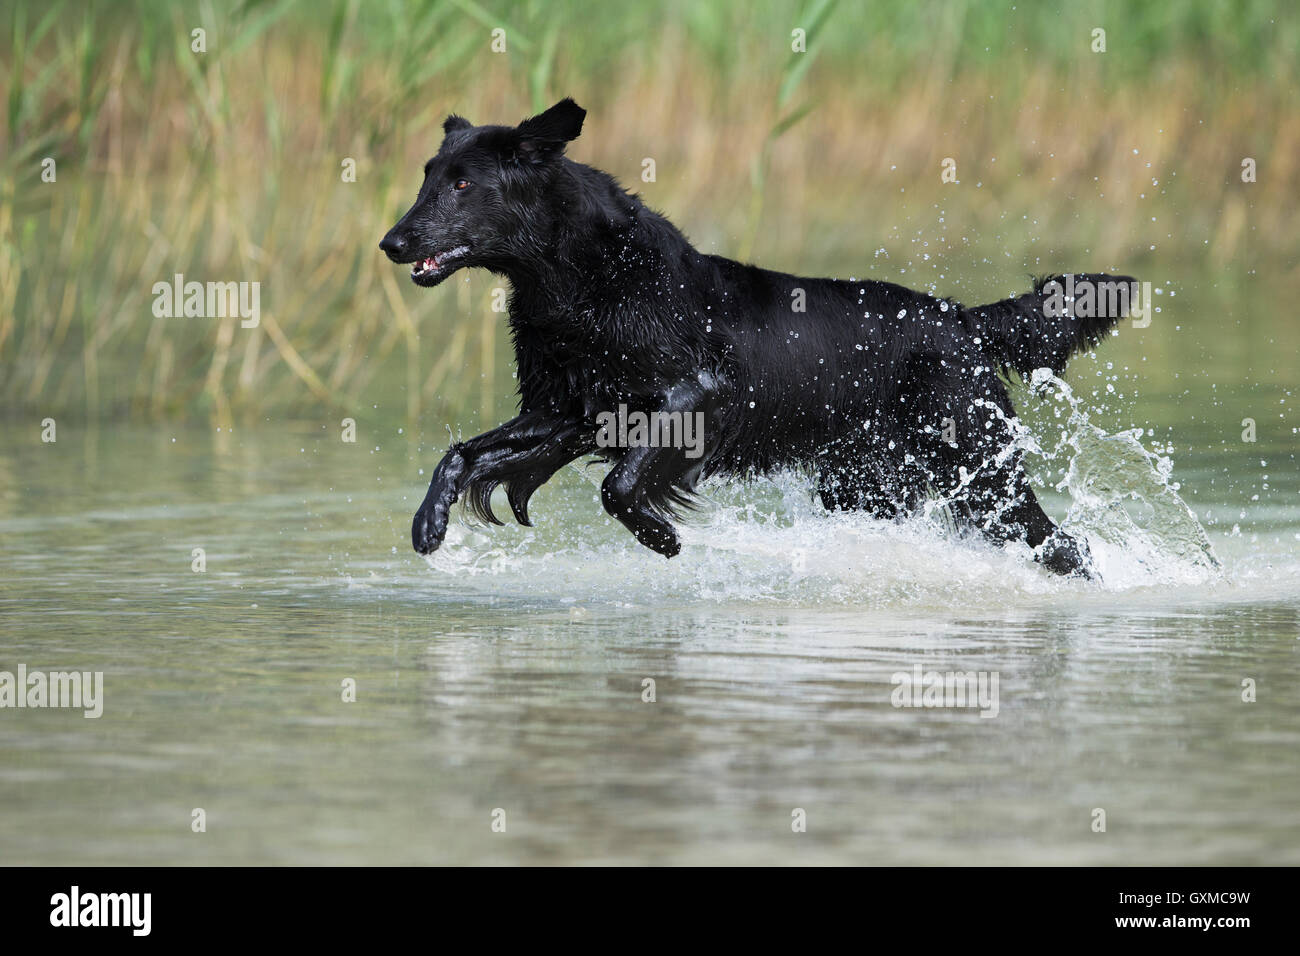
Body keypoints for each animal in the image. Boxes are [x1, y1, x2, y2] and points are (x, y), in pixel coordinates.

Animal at [379, 98, 1133, 574]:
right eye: (427, 178)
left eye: (463, 183)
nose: (391, 242)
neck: (580, 277)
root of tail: (961, 318)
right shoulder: (568, 410)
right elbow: (462, 454)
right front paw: (429, 524)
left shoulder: (695, 395)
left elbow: (619, 486)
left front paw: (663, 538)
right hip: (868, 483)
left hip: (980, 475)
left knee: (1065, 547)